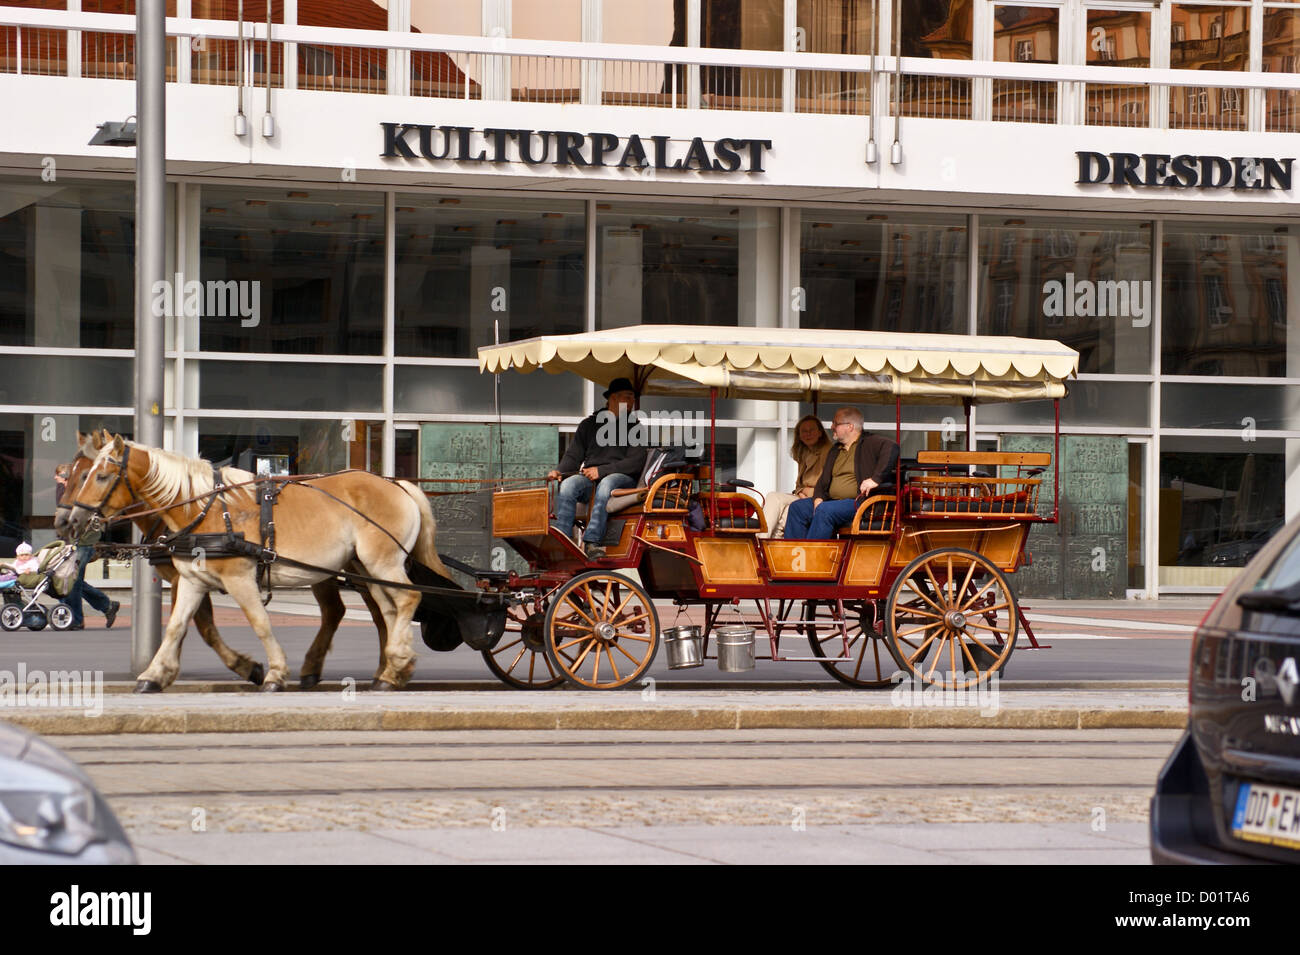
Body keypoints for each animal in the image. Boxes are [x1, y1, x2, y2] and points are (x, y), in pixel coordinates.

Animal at [67, 433, 452, 696]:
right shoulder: (191, 580)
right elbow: (177, 626)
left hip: (381, 563)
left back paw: (394, 662)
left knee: (407, 600)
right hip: (368, 568)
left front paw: (273, 673)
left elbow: (259, 623)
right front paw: (153, 675)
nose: (71, 522)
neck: (205, 509)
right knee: (387, 611)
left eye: (99, 476)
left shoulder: (239, 578)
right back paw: (392, 670)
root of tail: (396, 484)